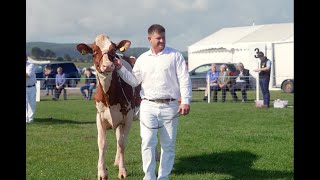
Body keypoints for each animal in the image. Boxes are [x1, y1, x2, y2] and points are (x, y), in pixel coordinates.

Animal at [76, 34, 140, 179]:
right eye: (94, 51)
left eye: (113, 50)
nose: (108, 65)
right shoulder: (100, 116)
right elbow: (102, 143)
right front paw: (102, 172)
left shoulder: (128, 116)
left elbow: (122, 143)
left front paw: (122, 171)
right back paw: (116, 161)